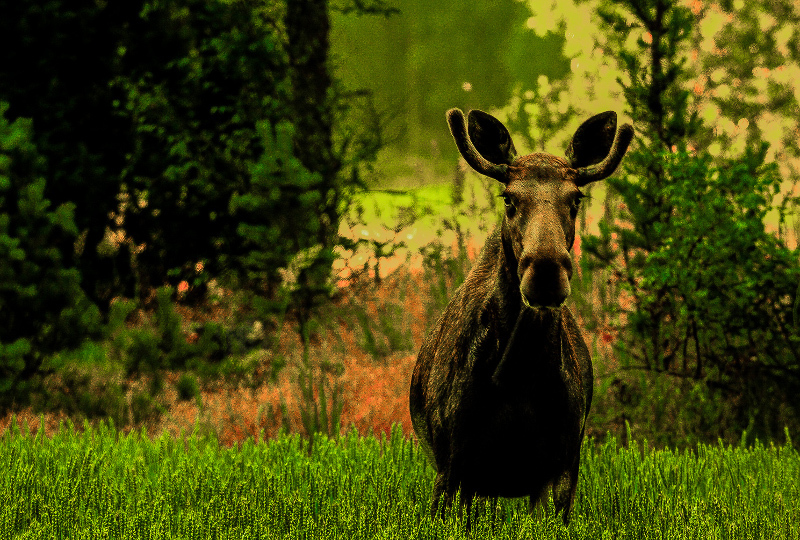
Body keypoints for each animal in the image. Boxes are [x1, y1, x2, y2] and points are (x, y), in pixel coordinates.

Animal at [409, 107, 633, 527]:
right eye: (509, 199)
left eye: (576, 198)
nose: (545, 271)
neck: (517, 378)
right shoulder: (451, 459)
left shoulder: (563, 461)